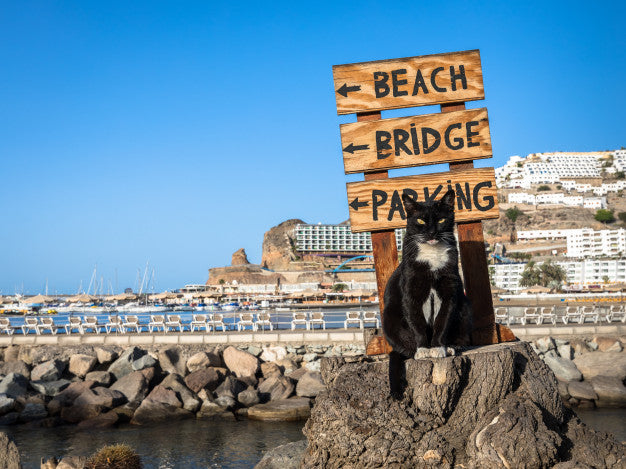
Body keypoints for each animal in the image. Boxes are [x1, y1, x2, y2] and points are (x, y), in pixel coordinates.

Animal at [382, 188, 470, 396]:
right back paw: (414, 351)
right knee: (404, 348)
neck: (432, 257)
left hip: (464, 308)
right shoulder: (411, 291)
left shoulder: (450, 289)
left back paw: (451, 347)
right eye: (421, 221)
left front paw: (438, 348)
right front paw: (423, 350)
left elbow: (442, 320)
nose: (431, 232)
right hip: (388, 317)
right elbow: (417, 321)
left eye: (441, 220)